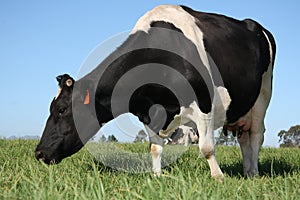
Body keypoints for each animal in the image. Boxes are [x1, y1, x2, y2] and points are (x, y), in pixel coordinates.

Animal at [34, 5, 276, 180]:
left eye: (62, 109)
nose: (39, 153)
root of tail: (255, 26)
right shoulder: (148, 113)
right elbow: (155, 148)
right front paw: (157, 176)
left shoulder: (204, 103)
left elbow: (207, 148)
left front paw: (218, 177)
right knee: (244, 138)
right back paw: (246, 171)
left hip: (262, 97)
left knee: (256, 136)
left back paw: (254, 173)